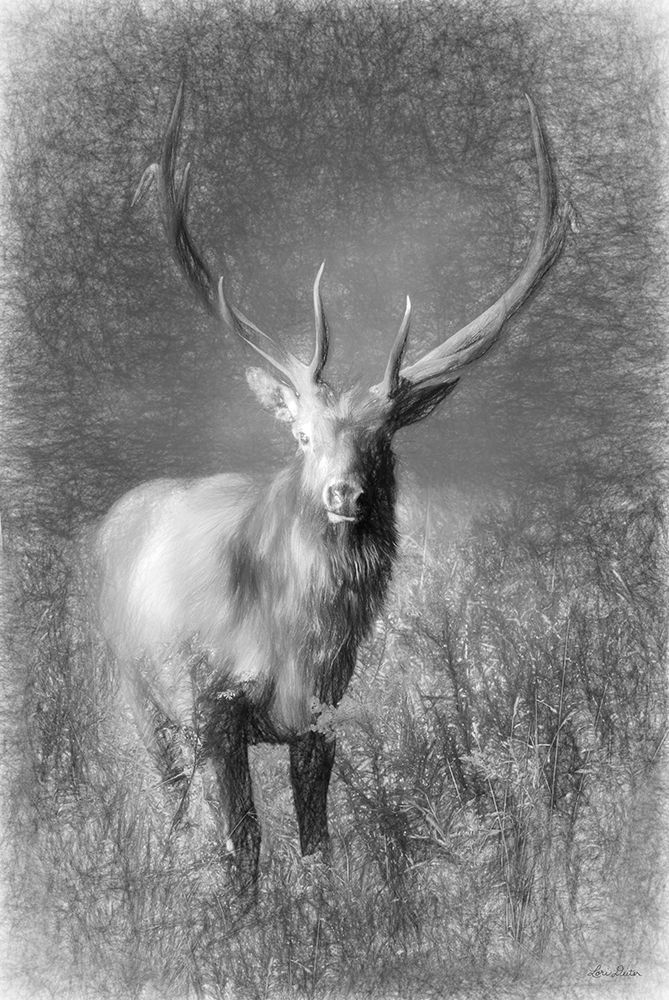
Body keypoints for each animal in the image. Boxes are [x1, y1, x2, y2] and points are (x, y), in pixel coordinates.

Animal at [93, 84, 570, 886]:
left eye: (384, 438)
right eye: (302, 437)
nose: (345, 495)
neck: (294, 639)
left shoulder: (323, 714)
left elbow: (318, 842)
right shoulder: (209, 702)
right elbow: (242, 843)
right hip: (137, 687)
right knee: (172, 795)